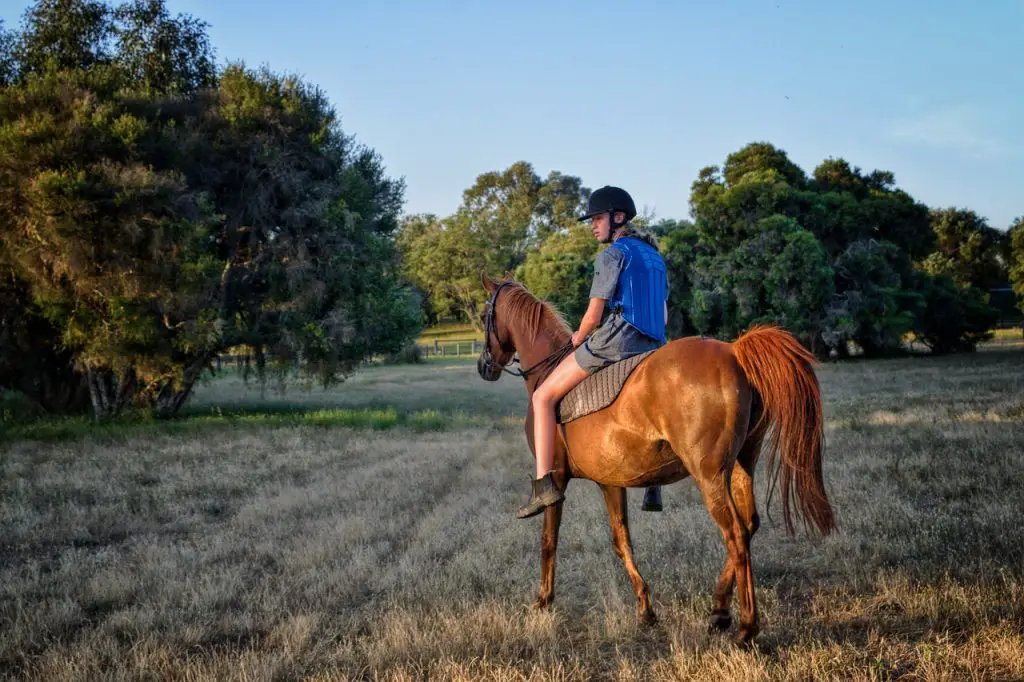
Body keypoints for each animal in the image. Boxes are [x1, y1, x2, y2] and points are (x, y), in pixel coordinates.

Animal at [475, 272, 835, 643]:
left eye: (484, 316)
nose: (484, 366)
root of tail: (734, 351)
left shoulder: (556, 479)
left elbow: (549, 541)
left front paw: (543, 601)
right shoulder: (610, 482)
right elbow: (622, 541)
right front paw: (645, 609)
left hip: (709, 475)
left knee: (735, 535)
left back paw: (746, 629)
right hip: (740, 466)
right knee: (748, 527)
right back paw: (719, 609)